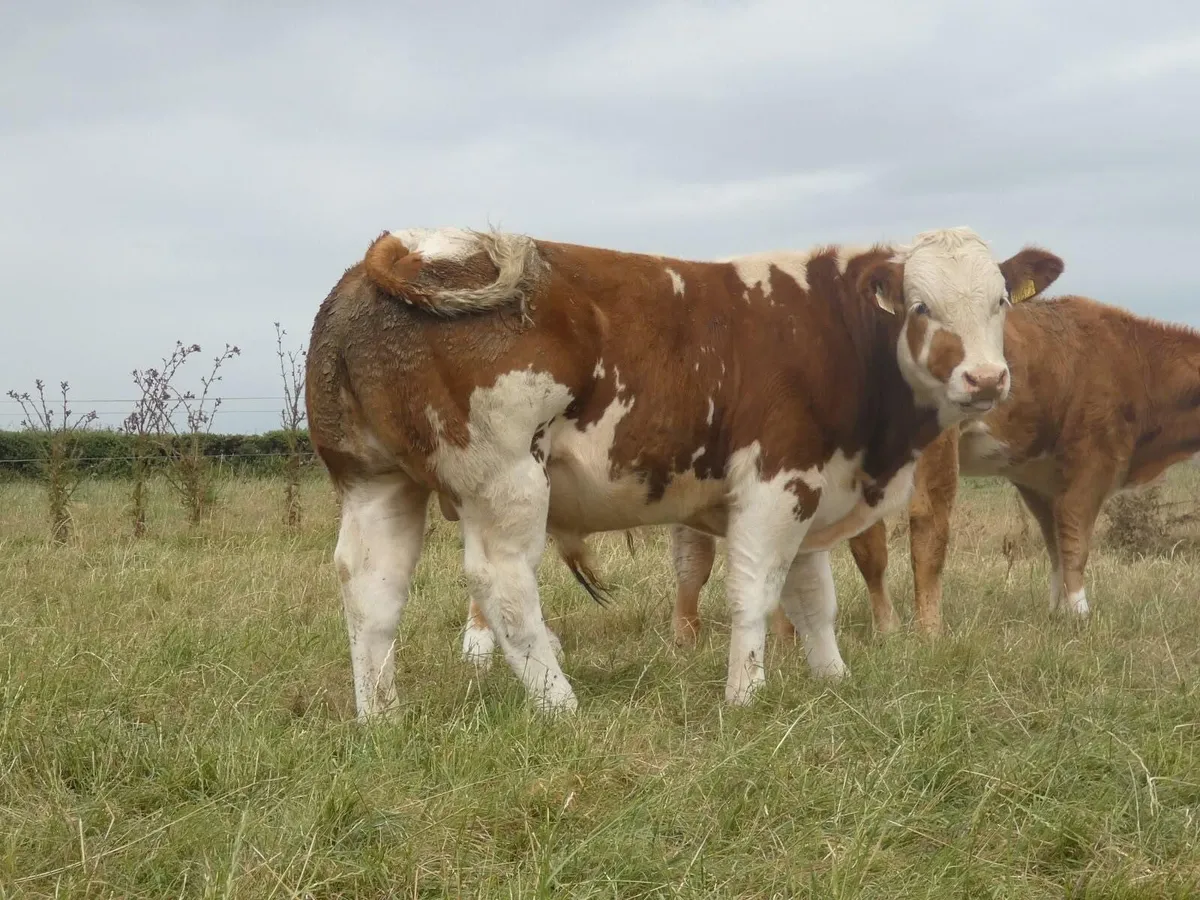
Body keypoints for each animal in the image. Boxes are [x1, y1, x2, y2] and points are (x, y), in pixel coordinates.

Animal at [305, 225, 1063, 718]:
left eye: (999, 300)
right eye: (921, 306)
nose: (986, 378)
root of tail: (409, 246)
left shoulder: (815, 486)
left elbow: (813, 599)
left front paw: (833, 680)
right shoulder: (776, 482)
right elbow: (755, 594)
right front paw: (746, 696)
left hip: (376, 479)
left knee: (370, 588)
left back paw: (381, 715)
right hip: (505, 480)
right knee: (503, 586)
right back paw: (561, 706)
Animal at [666, 293, 1200, 641]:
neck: (1133, 357)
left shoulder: (1037, 477)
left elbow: (1053, 543)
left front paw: (1057, 611)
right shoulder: (1091, 463)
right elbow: (1075, 543)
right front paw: (1079, 614)